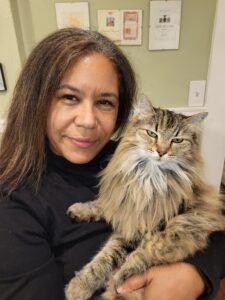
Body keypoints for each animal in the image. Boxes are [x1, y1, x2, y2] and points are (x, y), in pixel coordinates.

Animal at [65, 97, 225, 298]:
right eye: (152, 133)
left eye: (177, 140)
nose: (161, 152)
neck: (148, 178)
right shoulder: (124, 200)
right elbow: (102, 204)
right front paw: (80, 210)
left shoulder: (137, 230)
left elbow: (106, 259)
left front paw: (78, 287)